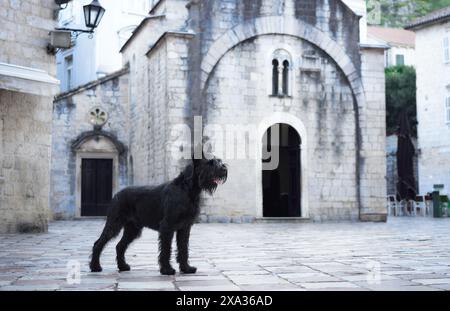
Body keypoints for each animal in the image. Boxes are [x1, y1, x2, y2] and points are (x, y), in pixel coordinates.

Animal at [89, 155, 227, 274]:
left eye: (218, 160)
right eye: (210, 163)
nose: (224, 168)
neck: (187, 189)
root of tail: (117, 194)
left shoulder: (184, 227)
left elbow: (183, 248)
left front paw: (186, 268)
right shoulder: (167, 227)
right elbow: (166, 249)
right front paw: (167, 270)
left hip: (133, 229)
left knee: (120, 246)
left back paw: (123, 267)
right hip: (114, 224)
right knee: (99, 243)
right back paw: (95, 267)